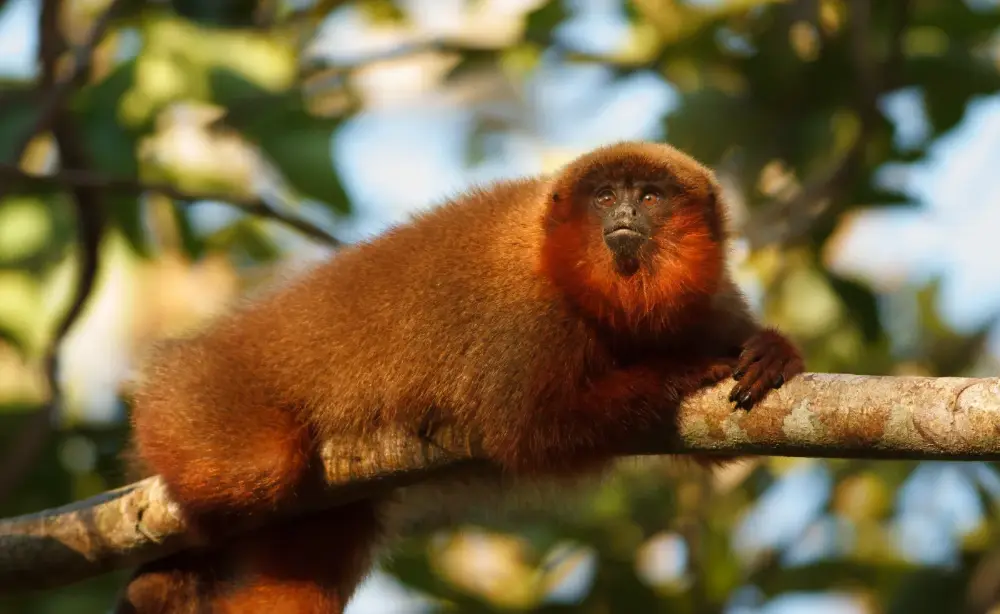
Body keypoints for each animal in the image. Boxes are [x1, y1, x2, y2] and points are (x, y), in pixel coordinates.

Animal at [115, 141, 804, 613]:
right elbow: (530, 430)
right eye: (606, 196)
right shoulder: (530, 315)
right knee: (257, 470)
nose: (628, 209)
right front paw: (682, 369)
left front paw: (773, 351)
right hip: (199, 400)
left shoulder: (708, 299)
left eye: (651, 195)